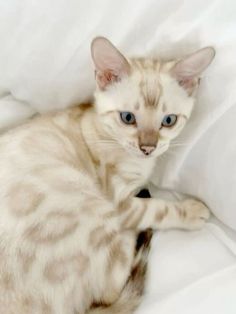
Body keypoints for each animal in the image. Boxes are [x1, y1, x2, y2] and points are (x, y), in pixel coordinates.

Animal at [0, 37, 215, 314]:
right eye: (128, 117)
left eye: (168, 121)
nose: (148, 147)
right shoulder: (118, 199)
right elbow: (157, 209)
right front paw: (190, 210)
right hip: (89, 203)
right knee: (113, 283)